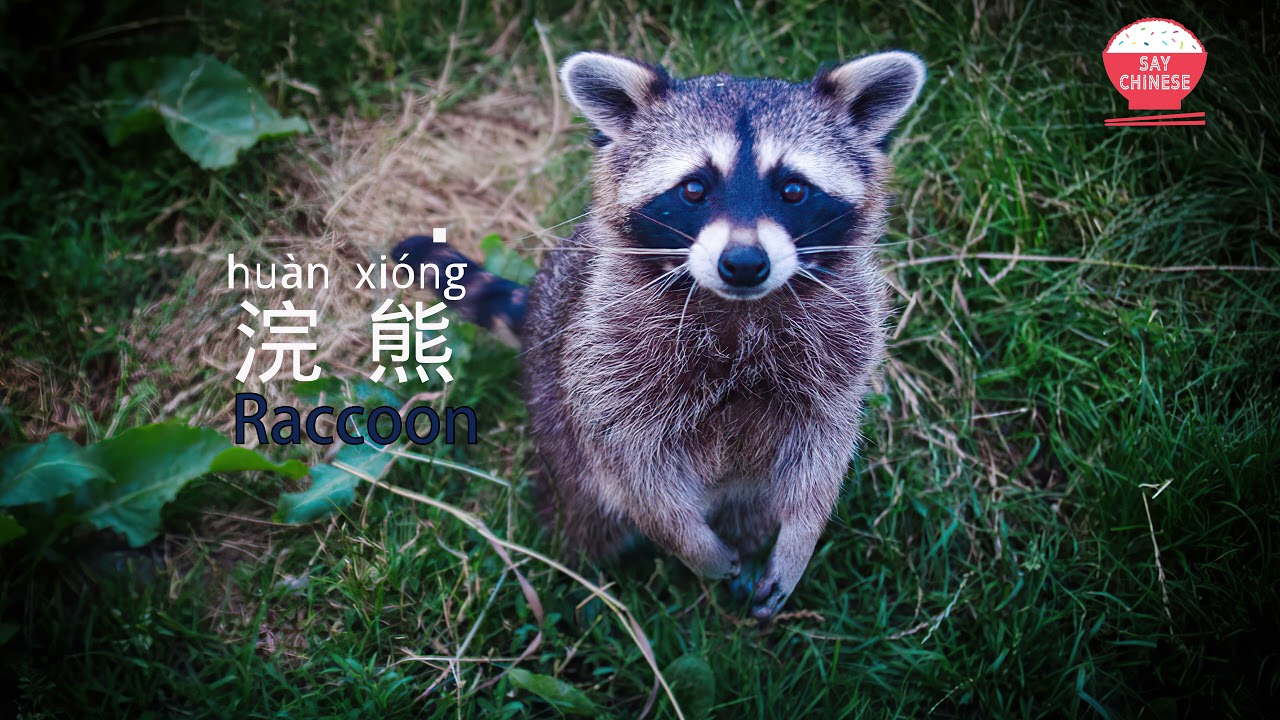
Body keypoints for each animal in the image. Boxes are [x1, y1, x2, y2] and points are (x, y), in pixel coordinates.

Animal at [393, 50, 925, 619]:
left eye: (793, 189)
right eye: (693, 188)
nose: (744, 263)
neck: (737, 308)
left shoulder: (843, 344)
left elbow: (824, 448)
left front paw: (801, 535)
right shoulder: (606, 355)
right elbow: (631, 467)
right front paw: (689, 542)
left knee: (753, 507)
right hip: (554, 417)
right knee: (583, 512)